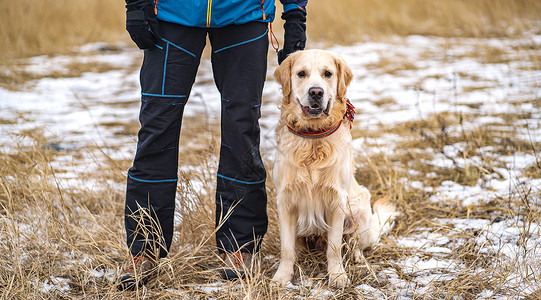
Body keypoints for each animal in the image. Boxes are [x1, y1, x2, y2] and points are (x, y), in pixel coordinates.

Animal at [270, 49, 396, 288]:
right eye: (301, 73)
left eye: (327, 74)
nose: (316, 92)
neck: (313, 138)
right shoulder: (286, 201)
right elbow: (287, 249)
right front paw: (282, 277)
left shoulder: (337, 202)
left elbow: (334, 247)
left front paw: (337, 276)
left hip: (359, 208)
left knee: (355, 243)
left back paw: (357, 257)